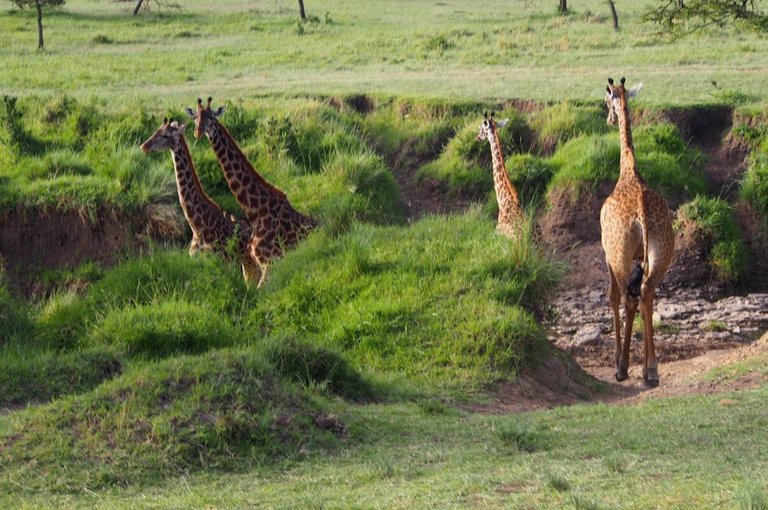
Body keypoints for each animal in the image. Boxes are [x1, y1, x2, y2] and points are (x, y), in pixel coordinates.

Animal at [142, 117, 262, 282]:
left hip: (250, 264)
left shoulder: (221, 263)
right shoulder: (196, 261)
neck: (197, 226)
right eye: (156, 131)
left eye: (165, 135)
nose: (144, 147)